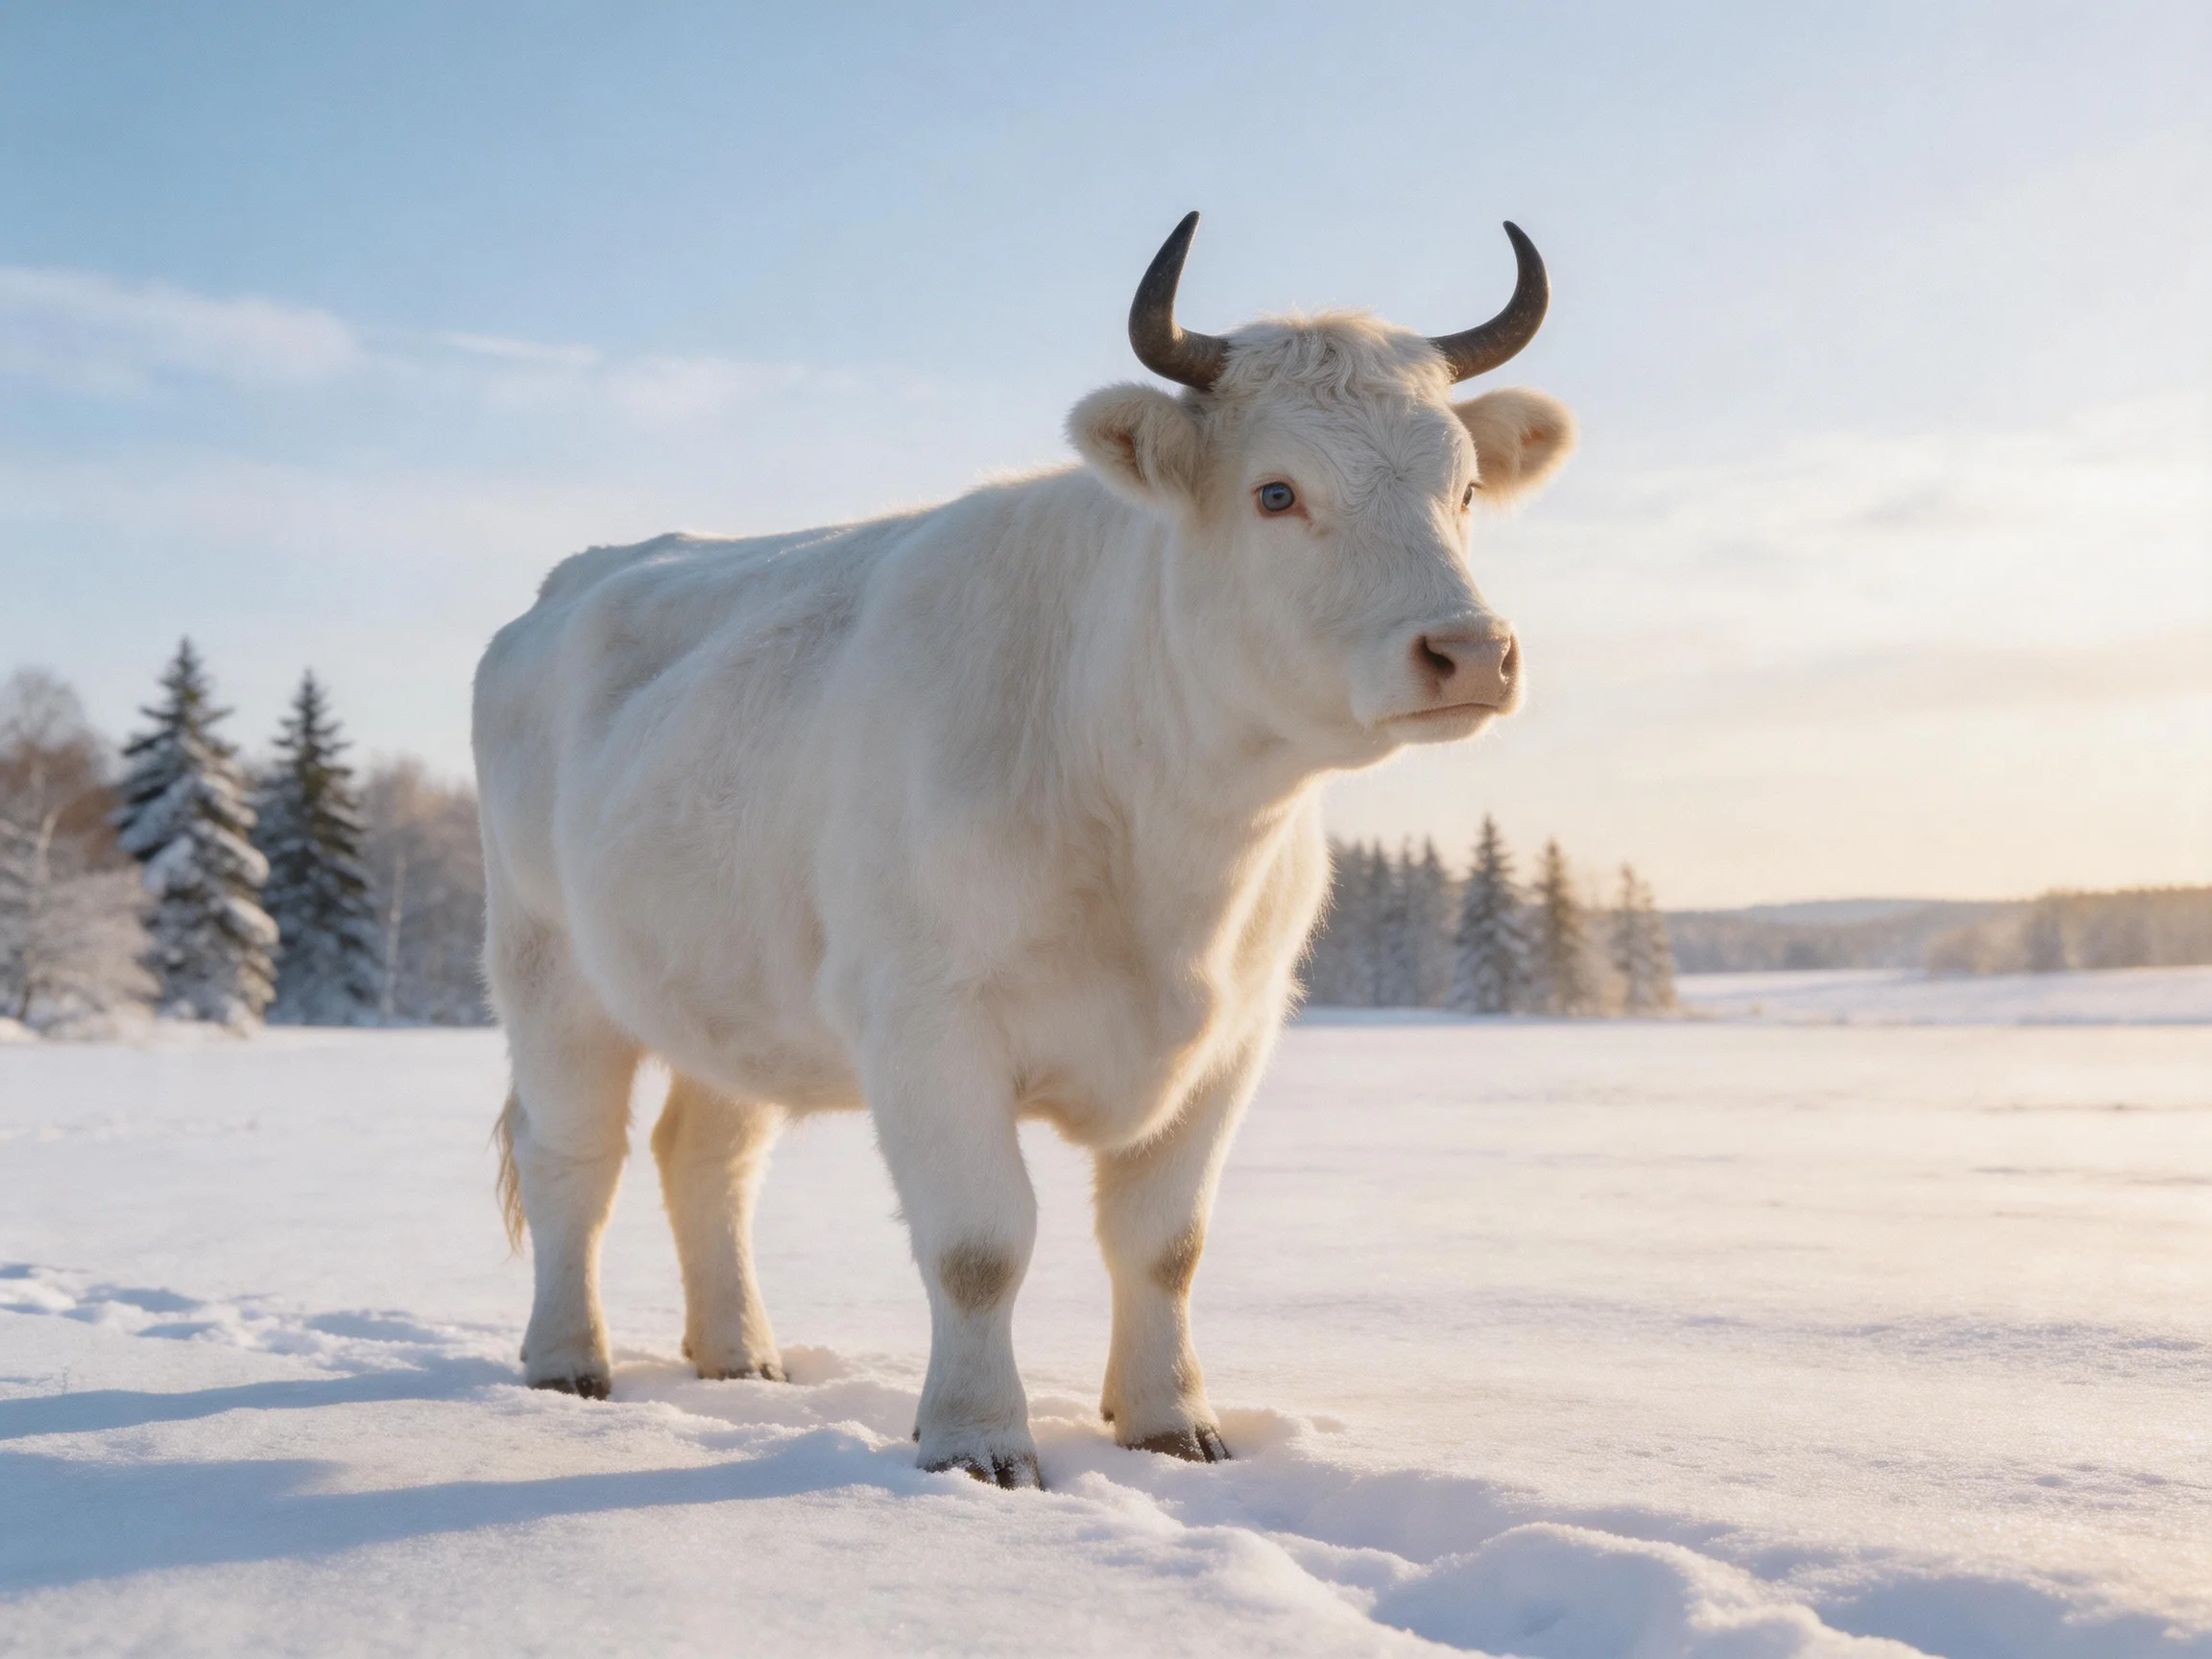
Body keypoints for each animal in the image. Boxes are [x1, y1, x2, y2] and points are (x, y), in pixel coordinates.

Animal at [474, 213, 1574, 1487]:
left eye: (1466, 488)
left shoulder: (1235, 1035)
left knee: (705, 1157)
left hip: (733, 993)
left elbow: (1165, 1245)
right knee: (574, 1159)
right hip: (549, 967)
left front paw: (1171, 1423)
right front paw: (977, 1444)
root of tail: (570, 582)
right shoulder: (925, 1020)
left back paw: (739, 1358)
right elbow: (979, 1246)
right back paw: (569, 1361)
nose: (1471, 651)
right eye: (1277, 491)